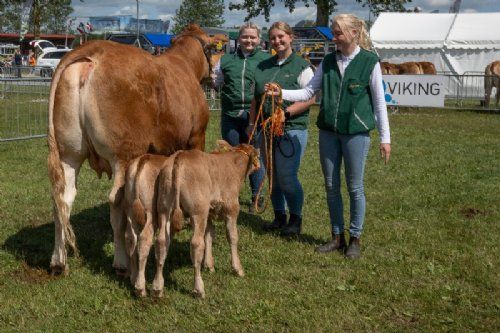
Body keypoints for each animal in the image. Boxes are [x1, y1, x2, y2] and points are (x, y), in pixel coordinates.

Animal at [47, 23, 227, 274]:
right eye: (214, 50)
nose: (219, 78)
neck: (185, 65)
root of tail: (90, 51)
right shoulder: (196, 136)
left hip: (68, 153)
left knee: (62, 198)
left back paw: (58, 260)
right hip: (123, 154)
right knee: (116, 200)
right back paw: (121, 262)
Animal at [154, 141, 260, 296]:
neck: (233, 163)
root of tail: (180, 156)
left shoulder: (209, 213)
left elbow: (209, 235)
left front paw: (209, 265)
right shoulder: (231, 208)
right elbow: (232, 237)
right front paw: (237, 268)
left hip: (164, 207)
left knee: (162, 241)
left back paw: (157, 286)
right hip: (198, 211)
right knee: (196, 244)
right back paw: (199, 288)